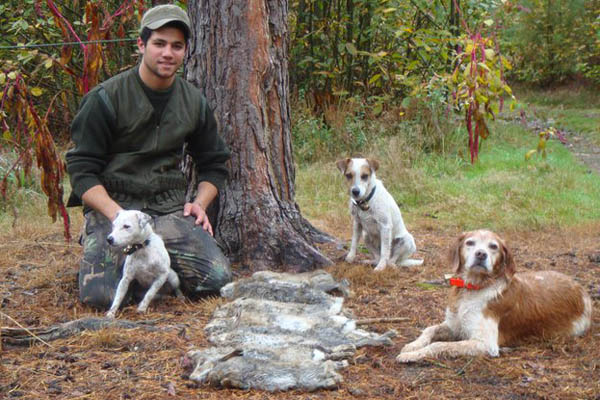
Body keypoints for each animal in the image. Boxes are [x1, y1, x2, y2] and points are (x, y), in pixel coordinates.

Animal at [396, 228, 592, 362]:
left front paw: (413, 355)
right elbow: (429, 330)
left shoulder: (485, 343)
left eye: (493, 247)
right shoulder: (454, 325)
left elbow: (438, 345)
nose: (481, 254)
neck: (472, 289)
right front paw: (412, 346)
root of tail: (582, 291)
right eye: (470, 243)